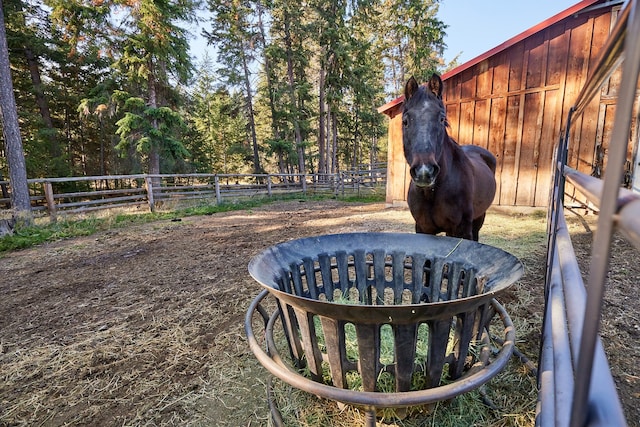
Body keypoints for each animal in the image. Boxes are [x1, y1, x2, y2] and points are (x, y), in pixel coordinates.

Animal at [402, 75, 498, 242]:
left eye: (442, 119)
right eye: (405, 121)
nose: (424, 171)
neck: (433, 192)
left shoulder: (462, 230)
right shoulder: (423, 228)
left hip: (479, 218)